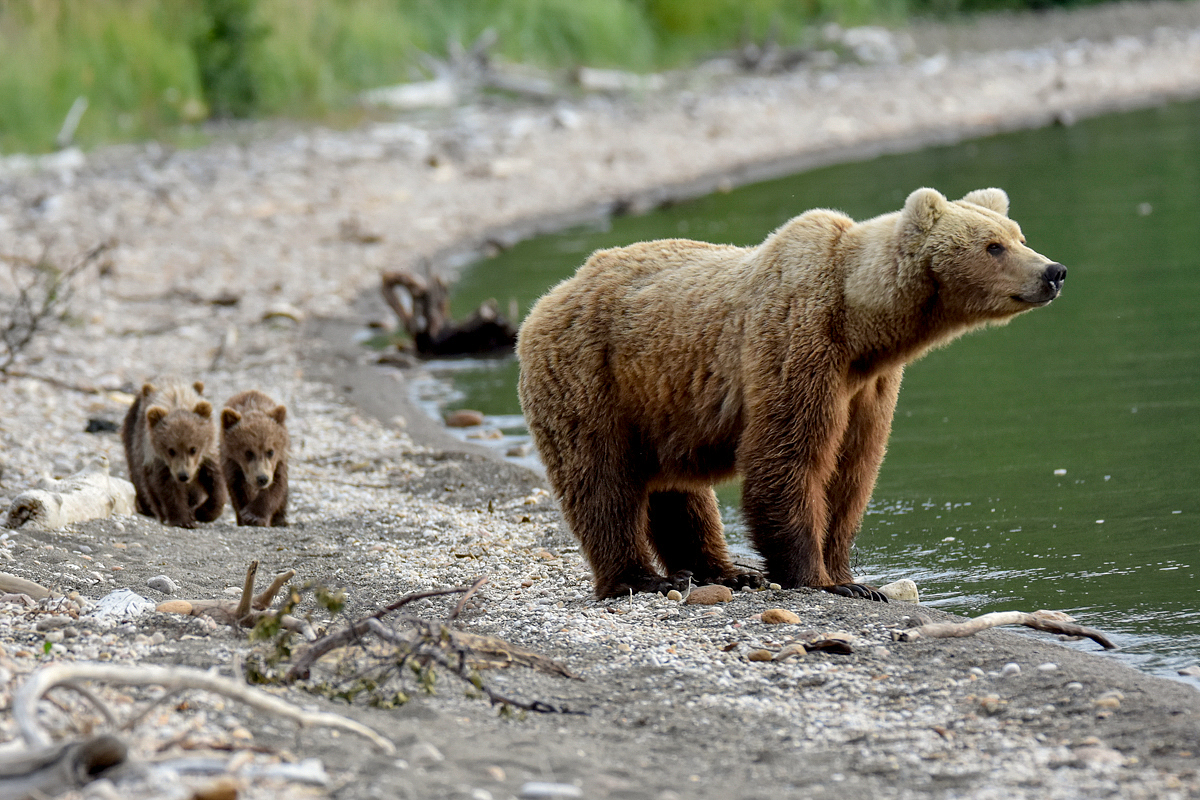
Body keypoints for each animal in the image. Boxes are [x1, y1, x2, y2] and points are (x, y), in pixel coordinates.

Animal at [125, 379, 228, 527]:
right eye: (171, 450)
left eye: (193, 449)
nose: (183, 476)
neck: (176, 402)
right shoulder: (158, 459)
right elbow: (168, 488)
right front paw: (183, 520)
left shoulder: (208, 454)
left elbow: (215, 480)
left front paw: (203, 512)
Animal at [220, 388, 288, 525]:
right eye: (248, 452)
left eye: (270, 451)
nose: (262, 478)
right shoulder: (231, 462)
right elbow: (238, 488)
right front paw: (246, 516)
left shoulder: (279, 460)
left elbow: (277, 485)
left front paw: (255, 515)